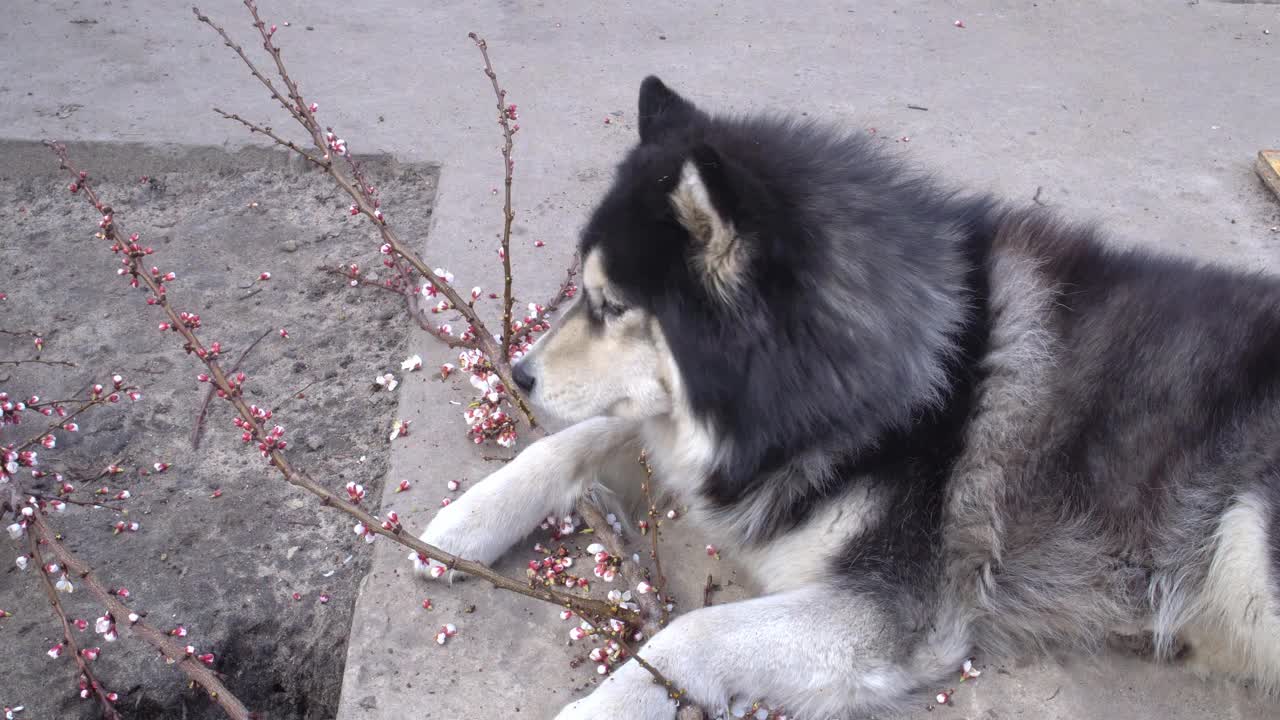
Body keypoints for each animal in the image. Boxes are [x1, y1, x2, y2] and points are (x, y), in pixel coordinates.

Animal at [414, 75, 1280, 712]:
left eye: (613, 305)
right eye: (587, 293)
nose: (519, 372)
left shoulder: (890, 612)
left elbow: (689, 633)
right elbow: (584, 436)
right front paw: (467, 520)